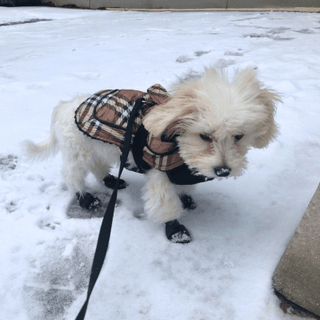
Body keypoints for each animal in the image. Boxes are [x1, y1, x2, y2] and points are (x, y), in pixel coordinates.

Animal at [21, 67, 280, 242]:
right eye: (204, 136)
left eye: (239, 135)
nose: (224, 170)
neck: (178, 146)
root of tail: (64, 107)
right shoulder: (159, 173)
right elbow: (166, 205)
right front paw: (175, 230)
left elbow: (182, 188)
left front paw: (186, 197)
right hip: (78, 152)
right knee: (72, 175)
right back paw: (85, 198)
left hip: (98, 148)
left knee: (98, 166)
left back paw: (111, 180)